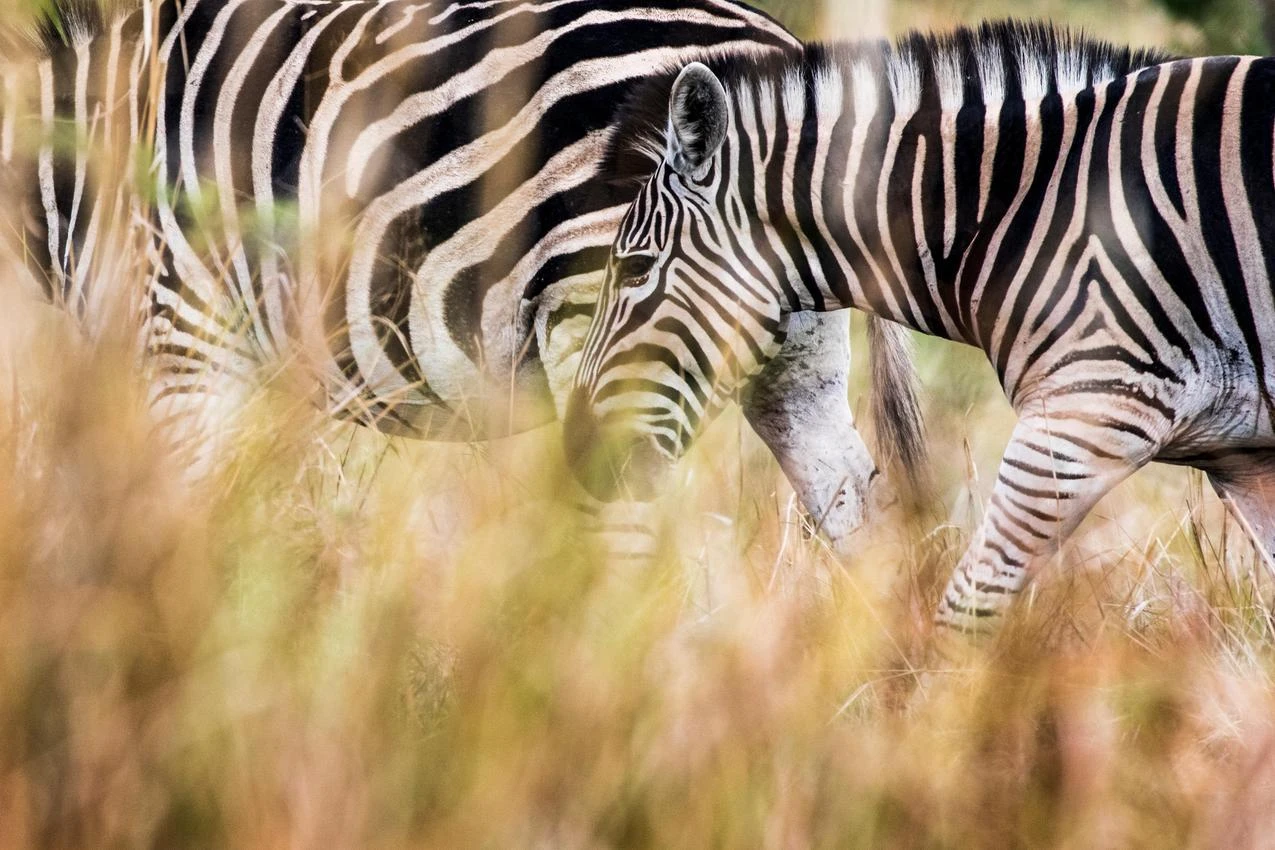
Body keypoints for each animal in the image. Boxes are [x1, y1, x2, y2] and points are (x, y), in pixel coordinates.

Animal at [565, 21, 1275, 644]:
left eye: (633, 268)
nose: (577, 453)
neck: (1023, 210)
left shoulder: (1089, 412)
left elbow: (963, 614)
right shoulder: (1245, 457)